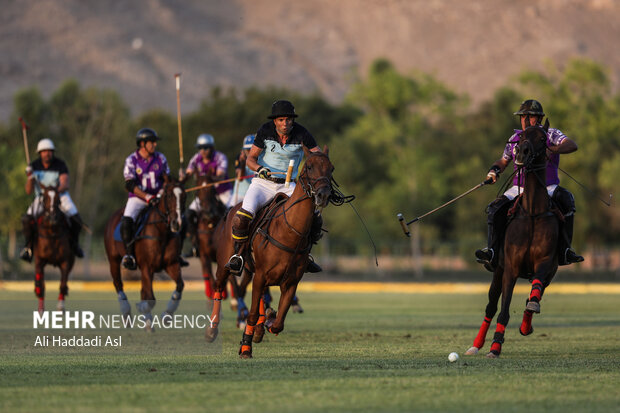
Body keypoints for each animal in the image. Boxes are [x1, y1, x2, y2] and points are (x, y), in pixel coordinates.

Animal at [32, 184, 75, 312]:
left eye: (58, 199)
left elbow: (62, 284)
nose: (52, 217)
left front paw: (60, 306)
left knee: (64, 283)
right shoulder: (39, 260)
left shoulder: (66, 261)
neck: (52, 231)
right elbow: (41, 284)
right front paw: (41, 308)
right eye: (45, 198)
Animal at [103, 175, 186, 330]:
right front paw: (142, 309)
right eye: (168, 195)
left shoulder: (171, 264)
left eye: (184, 195)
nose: (176, 223)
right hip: (113, 260)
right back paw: (127, 315)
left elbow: (179, 286)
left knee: (143, 290)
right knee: (118, 284)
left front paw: (166, 315)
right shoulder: (147, 266)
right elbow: (150, 297)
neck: (162, 232)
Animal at [206, 150, 334, 356]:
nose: (323, 195)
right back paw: (212, 330)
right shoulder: (261, 275)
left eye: (332, 168)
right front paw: (245, 347)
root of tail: (232, 209)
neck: (289, 232)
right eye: (309, 166)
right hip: (225, 264)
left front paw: (266, 321)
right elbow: (251, 314)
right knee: (219, 287)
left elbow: (278, 323)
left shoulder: (290, 282)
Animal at [464, 120, 560, 358]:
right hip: (498, 270)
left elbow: (534, 293)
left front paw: (528, 318)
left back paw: (527, 325)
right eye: (521, 137)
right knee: (491, 307)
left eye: (543, 138)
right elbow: (503, 311)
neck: (533, 212)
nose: (522, 152)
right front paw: (495, 347)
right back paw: (476, 345)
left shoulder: (545, 263)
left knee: (534, 295)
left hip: (551, 272)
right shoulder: (511, 268)